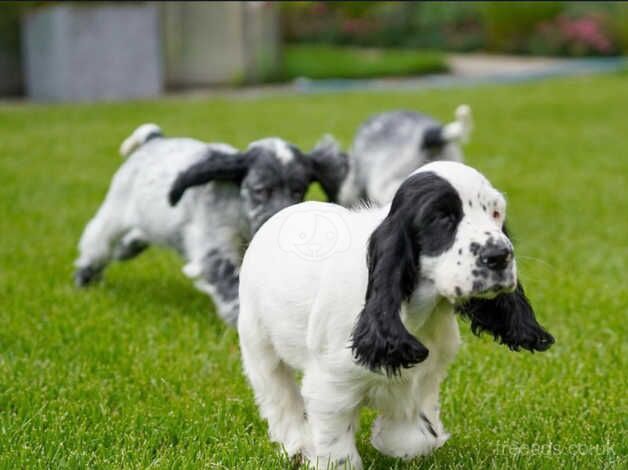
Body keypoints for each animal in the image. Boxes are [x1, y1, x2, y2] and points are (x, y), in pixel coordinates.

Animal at [75, 123, 348, 324]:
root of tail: (154, 140)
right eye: (260, 190)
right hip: (115, 211)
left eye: (298, 191)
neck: (240, 212)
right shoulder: (214, 246)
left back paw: (127, 247)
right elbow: (228, 281)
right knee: (96, 242)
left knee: (137, 236)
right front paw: (239, 318)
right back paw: (85, 278)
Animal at [239, 161, 556, 466]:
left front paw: (397, 442)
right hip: (258, 343)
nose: (500, 256)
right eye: (441, 217)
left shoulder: (427, 374)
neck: (420, 310)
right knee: (279, 394)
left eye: (496, 213)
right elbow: (336, 446)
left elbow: (416, 430)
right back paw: (297, 445)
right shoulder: (331, 385)